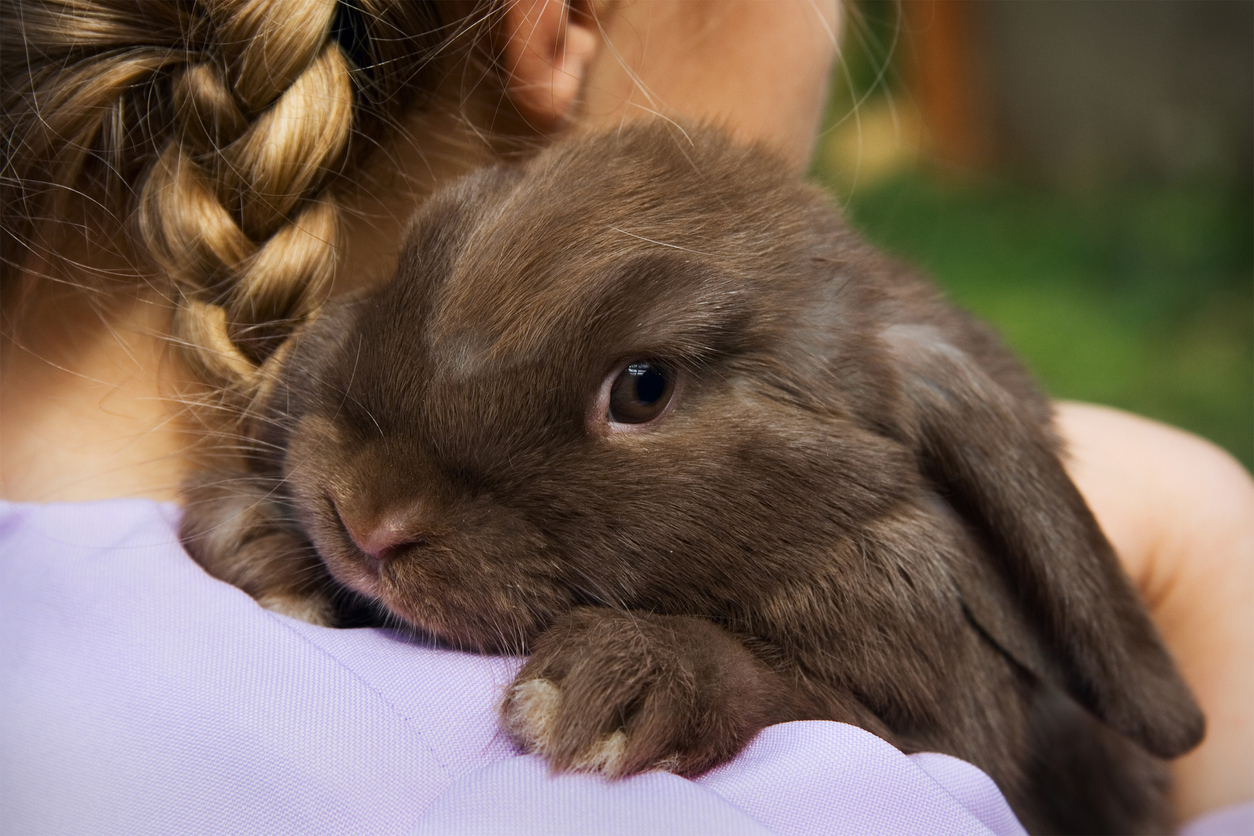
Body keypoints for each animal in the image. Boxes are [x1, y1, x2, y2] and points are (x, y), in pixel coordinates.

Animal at [183, 124, 1203, 836]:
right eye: (418, 250)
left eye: (643, 387)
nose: (368, 516)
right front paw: (258, 542)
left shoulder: (943, 730)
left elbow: (794, 692)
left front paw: (613, 691)